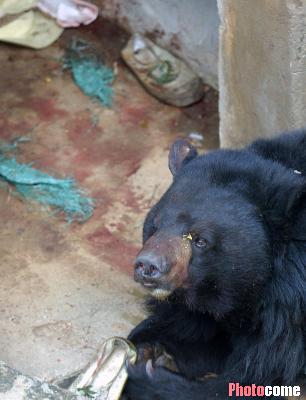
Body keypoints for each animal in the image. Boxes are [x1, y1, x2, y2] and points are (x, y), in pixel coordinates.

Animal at [125, 130, 306, 398]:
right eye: (155, 226)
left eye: (201, 240)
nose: (148, 266)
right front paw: (148, 343)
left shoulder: (288, 312)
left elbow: (259, 369)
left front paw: (145, 376)